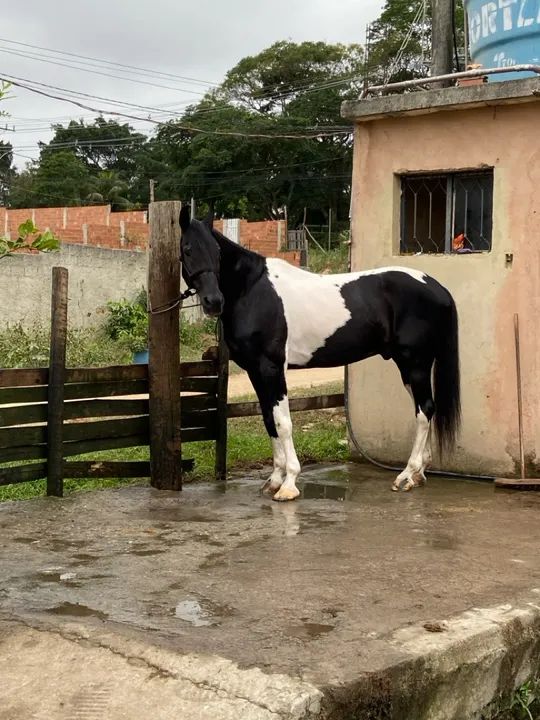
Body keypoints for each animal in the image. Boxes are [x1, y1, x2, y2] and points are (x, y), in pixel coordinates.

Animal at [179, 206, 461, 501]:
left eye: (217, 252)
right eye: (187, 249)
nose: (213, 301)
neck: (253, 290)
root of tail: (437, 287)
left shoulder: (272, 367)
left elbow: (283, 422)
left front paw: (289, 484)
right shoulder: (256, 370)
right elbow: (269, 420)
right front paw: (274, 480)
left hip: (415, 363)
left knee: (424, 410)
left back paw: (407, 474)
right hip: (410, 367)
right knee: (424, 409)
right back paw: (417, 474)